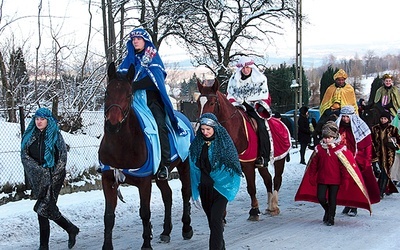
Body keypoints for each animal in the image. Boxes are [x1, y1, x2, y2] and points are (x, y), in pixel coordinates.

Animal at [99, 62, 195, 248]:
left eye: (129, 94)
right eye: (107, 92)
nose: (113, 125)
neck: (122, 146)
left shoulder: (144, 182)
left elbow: (145, 212)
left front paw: (146, 244)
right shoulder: (108, 180)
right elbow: (108, 217)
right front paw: (107, 246)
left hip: (184, 164)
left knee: (185, 192)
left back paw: (187, 228)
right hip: (161, 175)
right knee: (168, 195)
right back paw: (166, 232)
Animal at [197, 79, 290, 220]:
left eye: (212, 102)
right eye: (198, 103)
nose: (202, 127)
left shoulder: (248, 164)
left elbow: (251, 187)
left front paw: (254, 211)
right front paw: (222, 215)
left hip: (280, 160)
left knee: (277, 179)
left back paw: (274, 206)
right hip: (262, 164)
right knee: (268, 179)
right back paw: (269, 206)